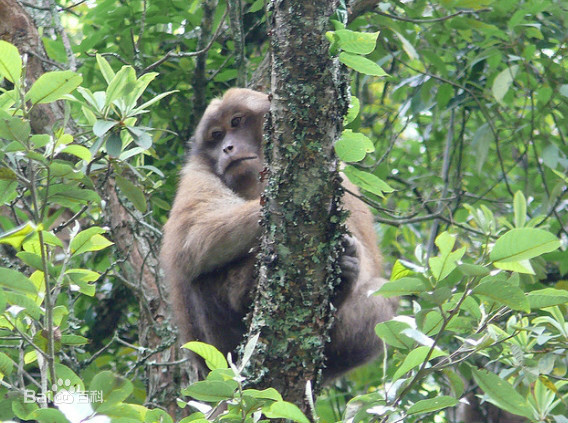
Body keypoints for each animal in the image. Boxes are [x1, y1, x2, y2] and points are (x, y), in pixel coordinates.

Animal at [162, 88, 398, 380]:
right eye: (216, 136)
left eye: (236, 122)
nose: (227, 148)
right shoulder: (196, 173)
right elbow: (190, 238)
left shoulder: (341, 180)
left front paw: (348, 259)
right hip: (216, 353)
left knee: (383, 296)